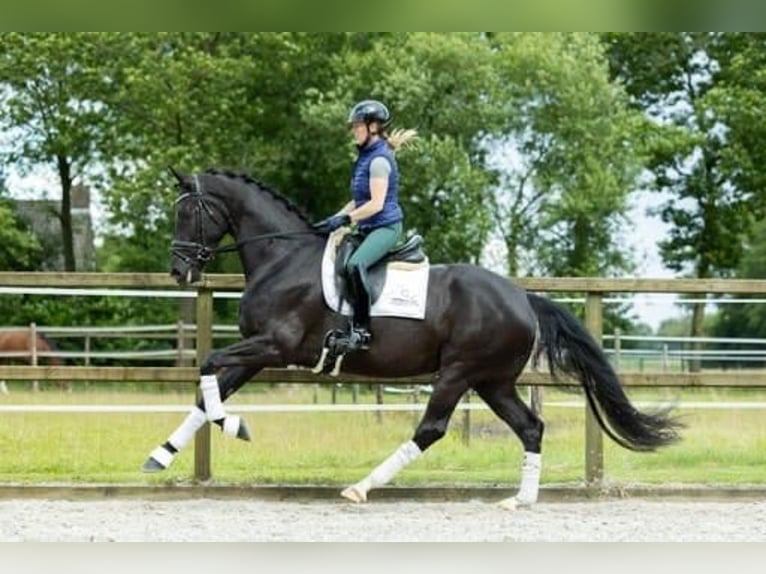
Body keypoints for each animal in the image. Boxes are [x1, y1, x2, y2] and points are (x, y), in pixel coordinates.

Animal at [144, 169, 684, 510]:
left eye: (189, 213)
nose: (179, 271)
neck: (283, 258)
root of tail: (521, 297)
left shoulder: (276, 345)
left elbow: (207, 367)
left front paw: (236, 426)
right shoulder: (258, 351)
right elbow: (207, 392)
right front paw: (160, 456)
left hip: (459, 373)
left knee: (432, 429)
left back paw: (362, 488)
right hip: (493, 382)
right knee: (530, 427)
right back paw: (521, 499)